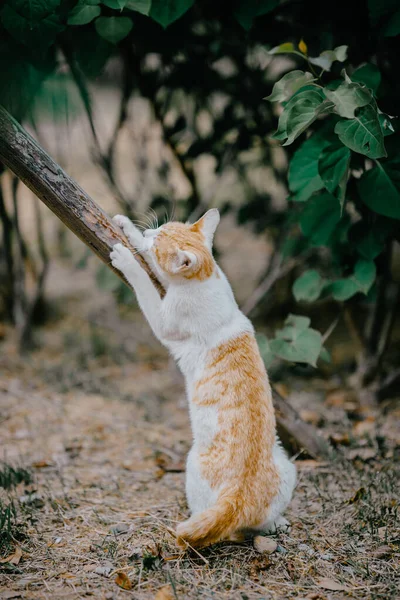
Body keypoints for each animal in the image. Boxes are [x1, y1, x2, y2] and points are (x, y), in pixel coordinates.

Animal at [111, 207, 296, 548]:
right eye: (159, 230)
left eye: (158, 243)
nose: (150, 234)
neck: (206, 278)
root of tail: (238, 496)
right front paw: (128, 227)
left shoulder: (163, 321)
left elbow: (144, 284)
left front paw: (127, 257)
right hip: (288, 465)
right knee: (259, 522)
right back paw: (276, 523)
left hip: (191, 464)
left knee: (223, 528)